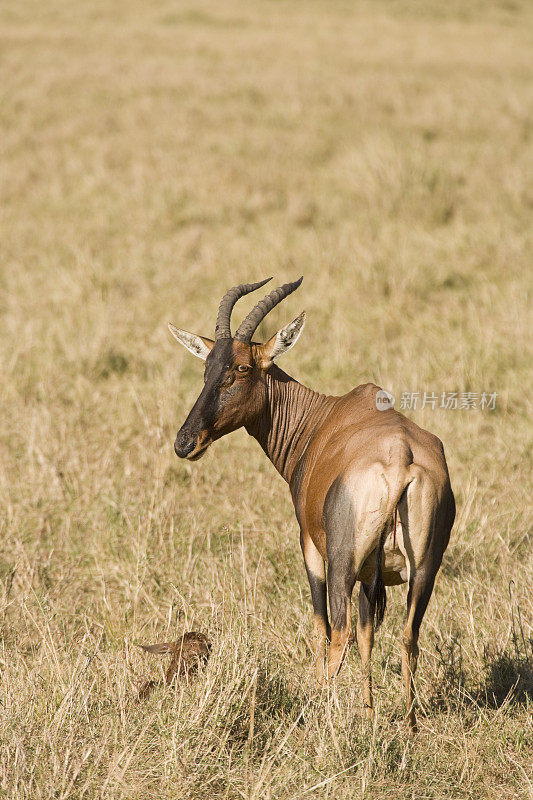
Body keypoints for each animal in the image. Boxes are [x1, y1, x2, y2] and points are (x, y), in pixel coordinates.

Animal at [169, 276, 454, 732]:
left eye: (241, 369)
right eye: (206, 368)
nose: (185, 442)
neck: (324, 417)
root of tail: (401, 459)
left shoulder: (310, 548)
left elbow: (322, 625)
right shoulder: (371, 574)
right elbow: (369, 633)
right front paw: (370, 715)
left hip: (341, 562)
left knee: (338, 632)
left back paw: (318, 712)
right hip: (425, 570)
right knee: (407, 636)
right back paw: (409, 726)